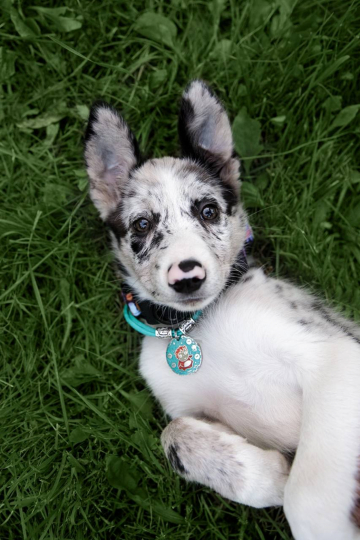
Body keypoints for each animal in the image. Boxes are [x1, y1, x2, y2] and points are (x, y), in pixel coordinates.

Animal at [84, 80, 360, 540]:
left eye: (208, 210)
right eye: (142, 225)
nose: (188, 276)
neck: (198, 327)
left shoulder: (335, 352)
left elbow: (306, 497)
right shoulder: (185, 409)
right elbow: (173, 435)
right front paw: (270, 475)